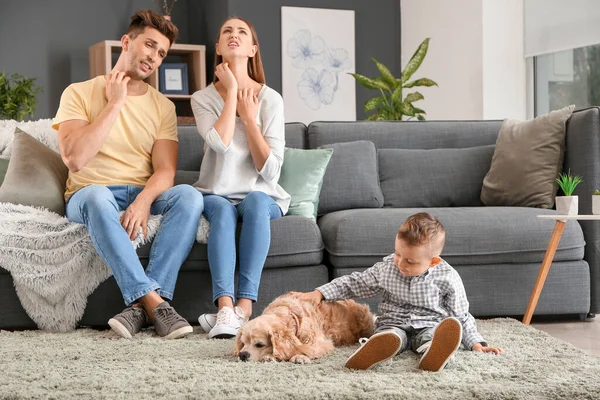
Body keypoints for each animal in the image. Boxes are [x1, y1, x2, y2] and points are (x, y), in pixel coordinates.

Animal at [232, 292, 372, 364]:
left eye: (259, 344)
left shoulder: (322, 342)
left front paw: (300, 357)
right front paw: (269, 356)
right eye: (243, 343)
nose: (242, 354)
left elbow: (308, 349)